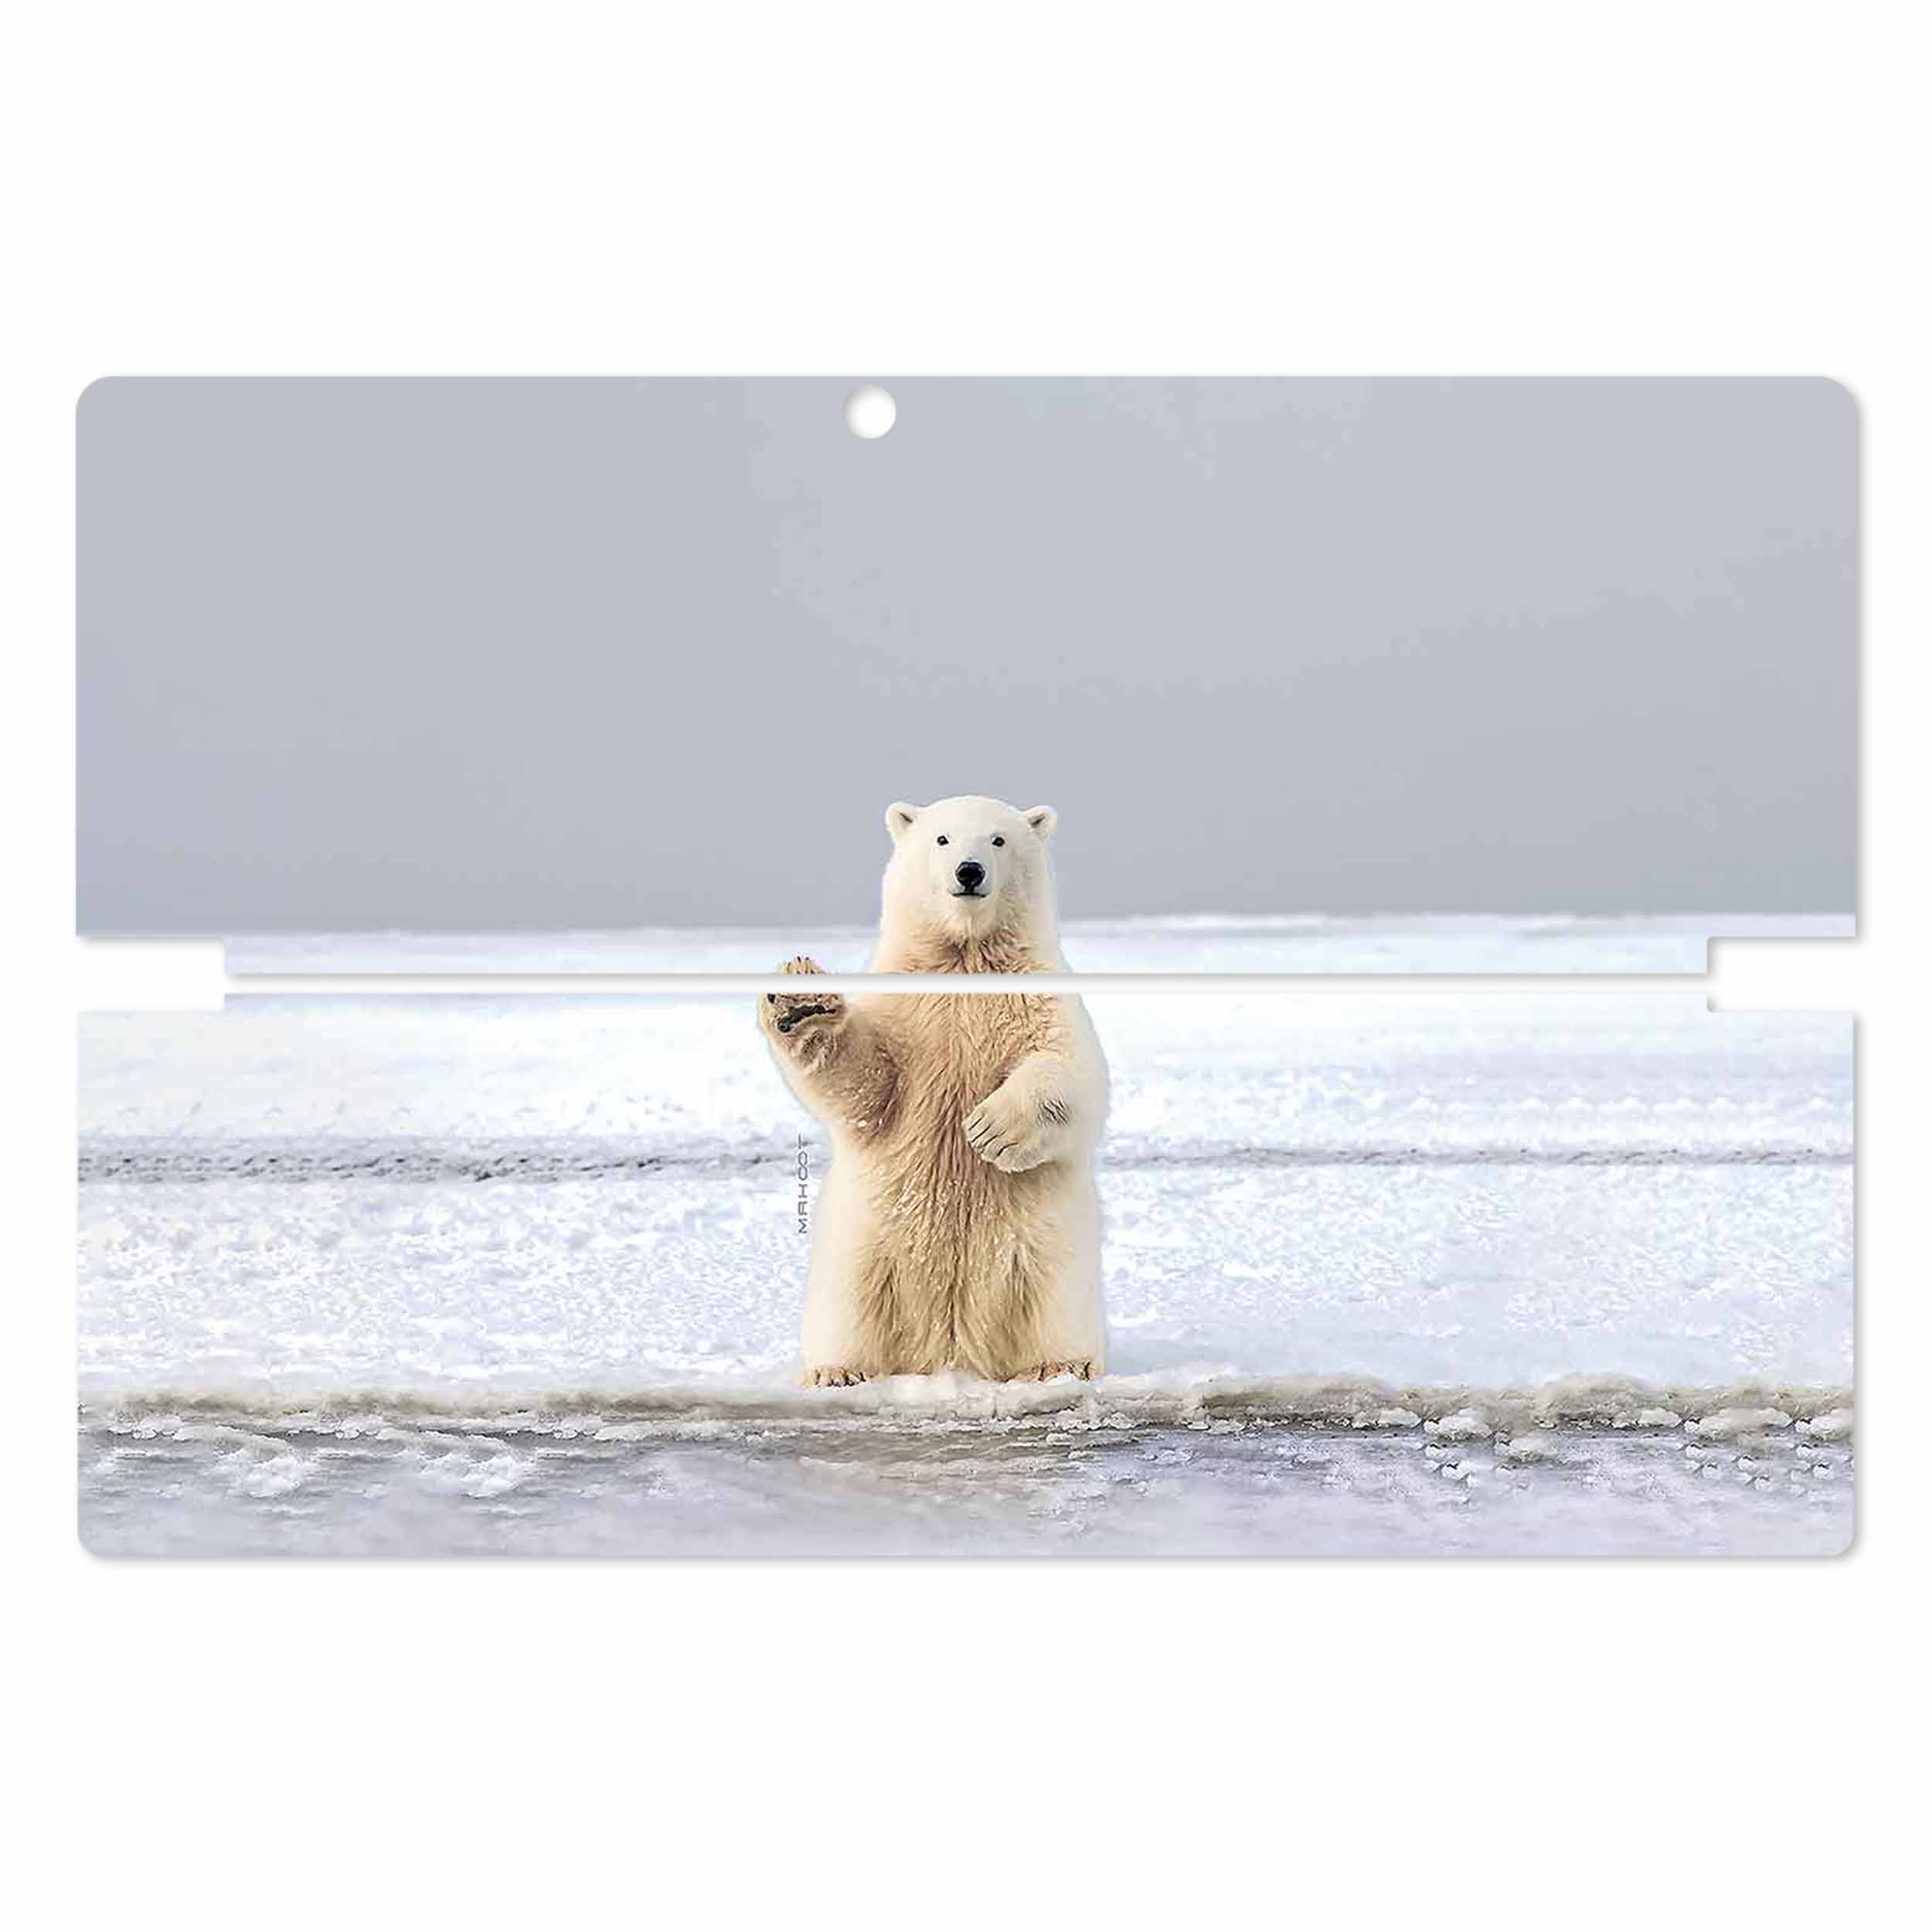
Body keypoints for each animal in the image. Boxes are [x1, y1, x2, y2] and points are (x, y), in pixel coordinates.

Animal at [758, 795, 1108, 1385]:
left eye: (998, 839)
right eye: (942, 839)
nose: (969, 872)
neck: (965, 957)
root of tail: (951, 1350)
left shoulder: (1042, 999)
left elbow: (1074, 1071)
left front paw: (990, 1129)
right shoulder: (905, 1011)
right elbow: (867, 1085)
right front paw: (801, 1000)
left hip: (1049, 1250)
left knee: (1055, 1299)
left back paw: (1060, 1365)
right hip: (863, 1247)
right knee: (848, 1306)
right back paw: (837, 1371)